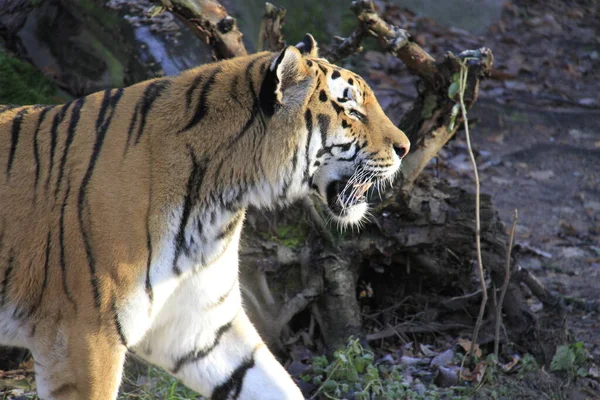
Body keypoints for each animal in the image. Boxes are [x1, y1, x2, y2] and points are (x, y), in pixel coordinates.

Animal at [0, 35, 410, 400]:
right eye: (351, 111)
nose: (405, 147)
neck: (219, 201)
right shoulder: (84, 338)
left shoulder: (201, 326)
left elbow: (273, 385)